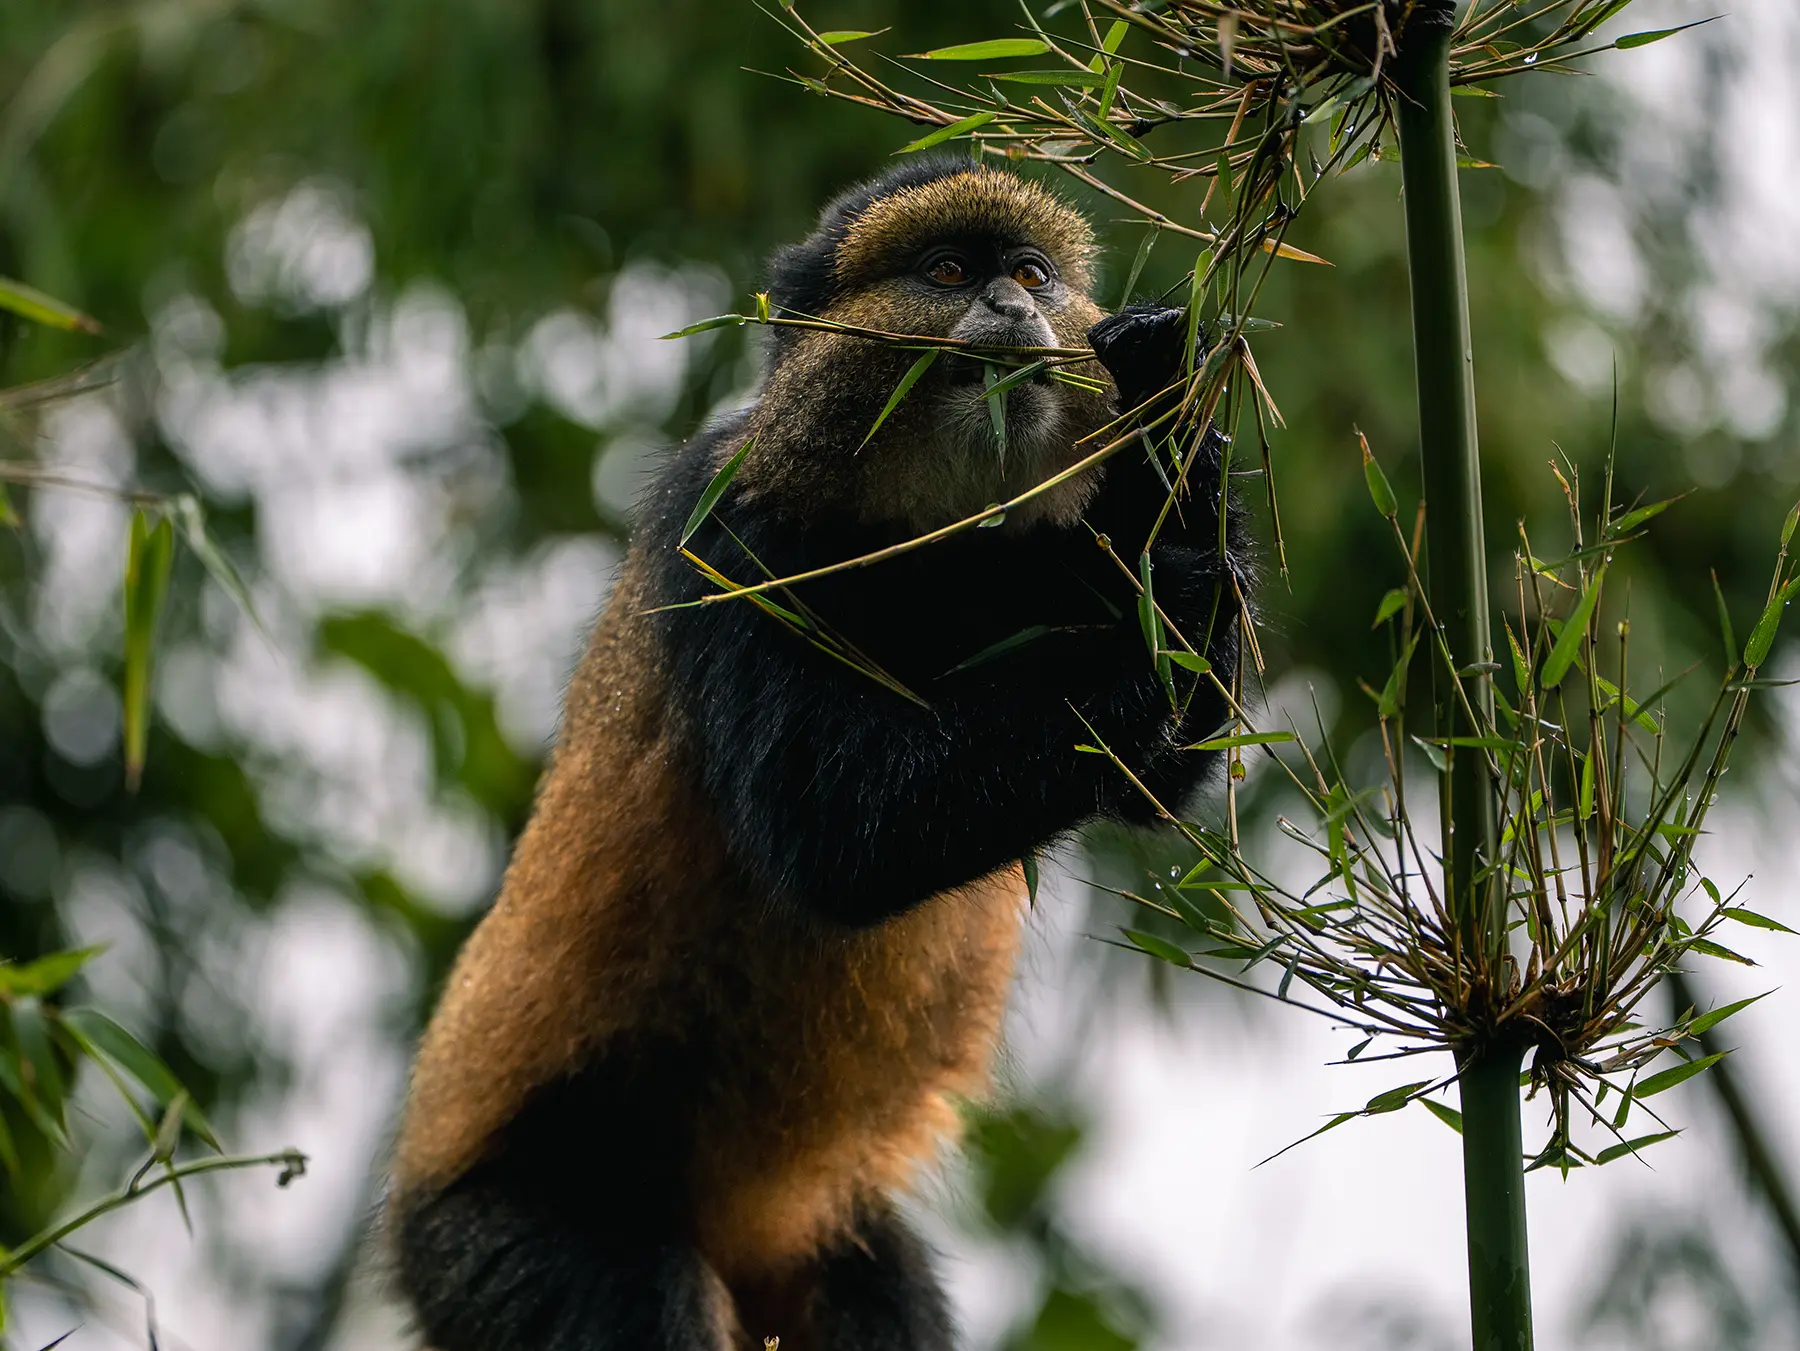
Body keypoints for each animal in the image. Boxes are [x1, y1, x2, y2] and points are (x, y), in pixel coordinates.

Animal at [387, 155, 1248, 1351]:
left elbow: (1153, 780)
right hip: (514, 1233)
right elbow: (831, 832)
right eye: (947, 271)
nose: (1015, 305)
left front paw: (1175, 426)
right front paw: (1173, 588)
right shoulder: (728, 532)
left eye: (1032, 272)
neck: (918, 542)